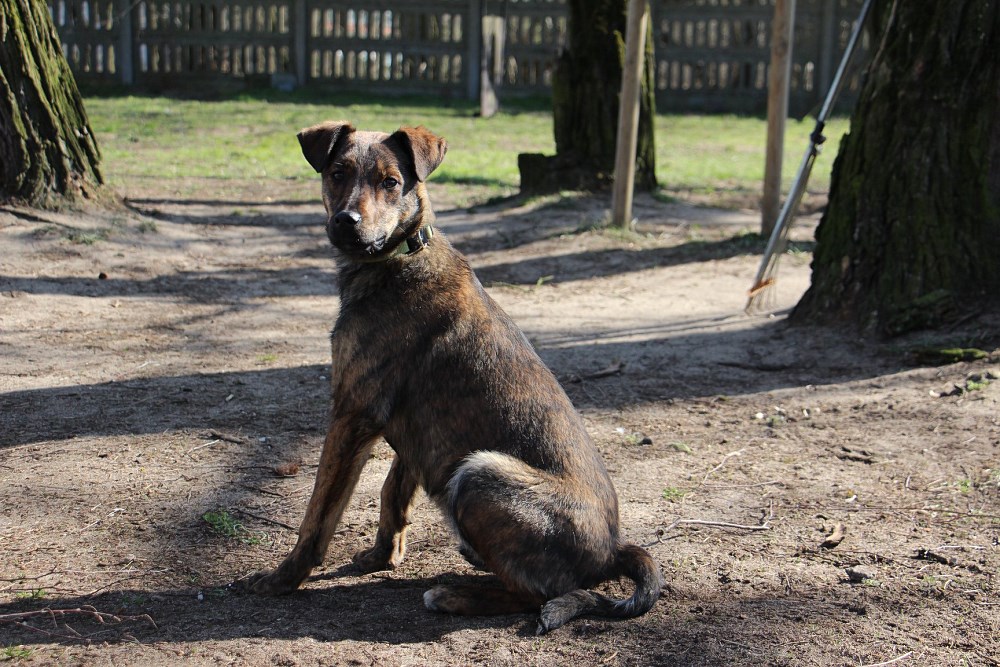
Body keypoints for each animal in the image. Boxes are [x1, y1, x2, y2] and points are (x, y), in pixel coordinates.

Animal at [248, 121, 662, 633]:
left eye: (391, 182)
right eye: (338, 173)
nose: (347, 221)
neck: (400, 258)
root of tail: (612, 551)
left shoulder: (351, 414)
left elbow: (318, 514)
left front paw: (283, 578)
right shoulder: (410, 431)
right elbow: (392, 493)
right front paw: (382, 557)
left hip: (479, 473)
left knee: (537, 594)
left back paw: (454, 595)